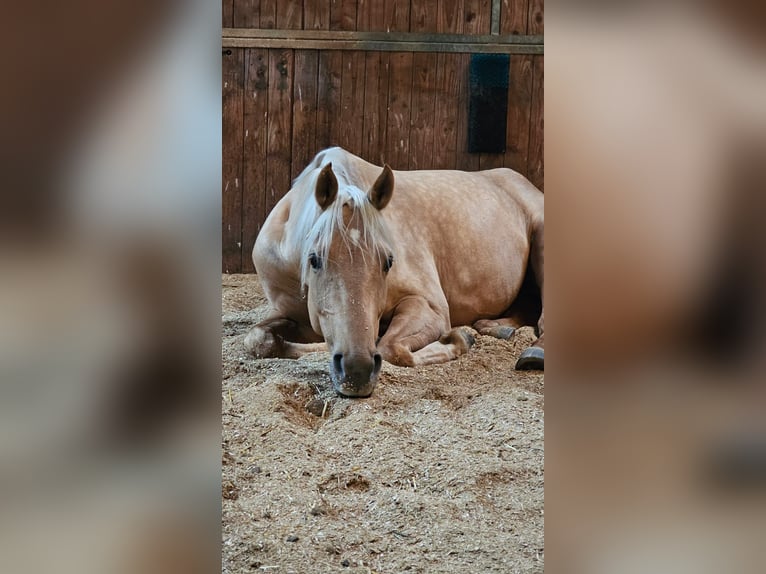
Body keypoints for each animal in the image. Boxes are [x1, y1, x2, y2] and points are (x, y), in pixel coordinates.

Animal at [246, 148, 544, 398]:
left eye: (389, 261)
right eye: (314, 259)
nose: (356, 371)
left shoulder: (430, 307)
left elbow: (390, 348)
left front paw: (459, 339)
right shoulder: (288, 313)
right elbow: (258, 339)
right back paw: (497, 328)